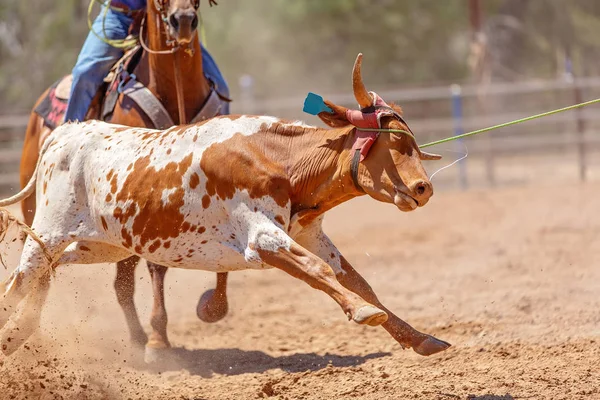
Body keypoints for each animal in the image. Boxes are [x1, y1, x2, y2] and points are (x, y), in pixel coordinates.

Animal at [0, 54, 450, 360]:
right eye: (394, 143)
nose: (423, 188)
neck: (281, 160)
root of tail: (63, 135)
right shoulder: (262, 238)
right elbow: (317, 272)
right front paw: (363, 313)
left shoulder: (310, 235)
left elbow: (356, 280)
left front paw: (419, 338)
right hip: (48, 233)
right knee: (19, 281)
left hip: (99, 246)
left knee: (48, 273)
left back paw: (20, 333)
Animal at [18, 0, 229, 360]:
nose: (183, 20)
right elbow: (155, 267)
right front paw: (159, 341)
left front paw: (210, 308)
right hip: (40, 210)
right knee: (41, 260)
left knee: (119, 282)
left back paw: (136, 337)